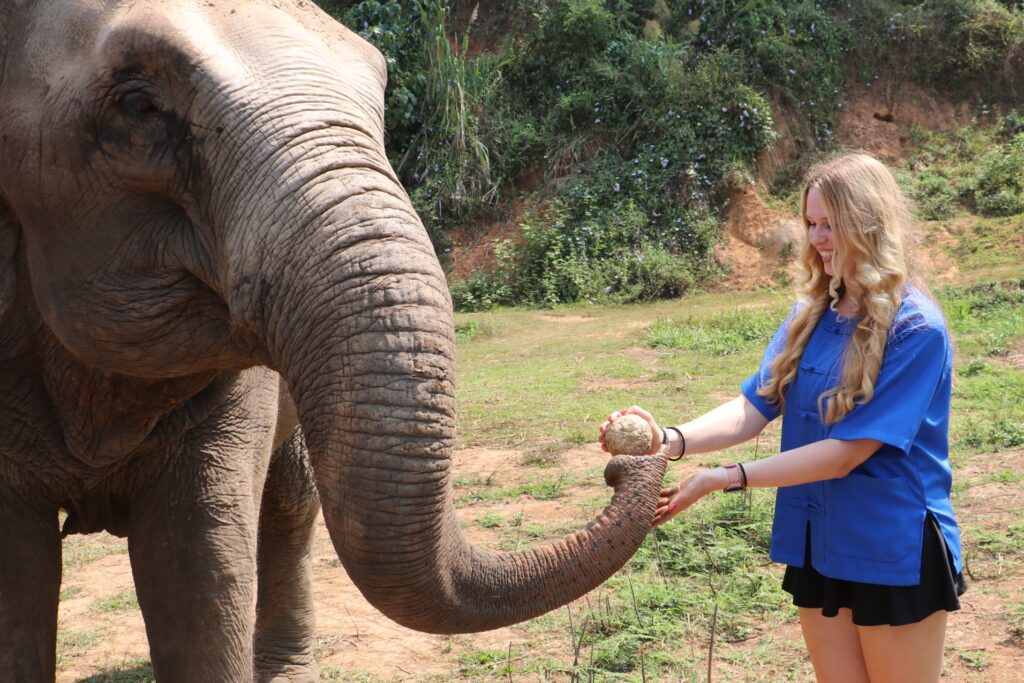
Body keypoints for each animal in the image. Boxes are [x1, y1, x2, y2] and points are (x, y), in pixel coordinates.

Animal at [0, 1, 667, 680]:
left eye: (379, 99)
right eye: (138, 104)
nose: (625, 454)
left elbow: (200, 560)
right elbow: (22, 581)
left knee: (291, 505)